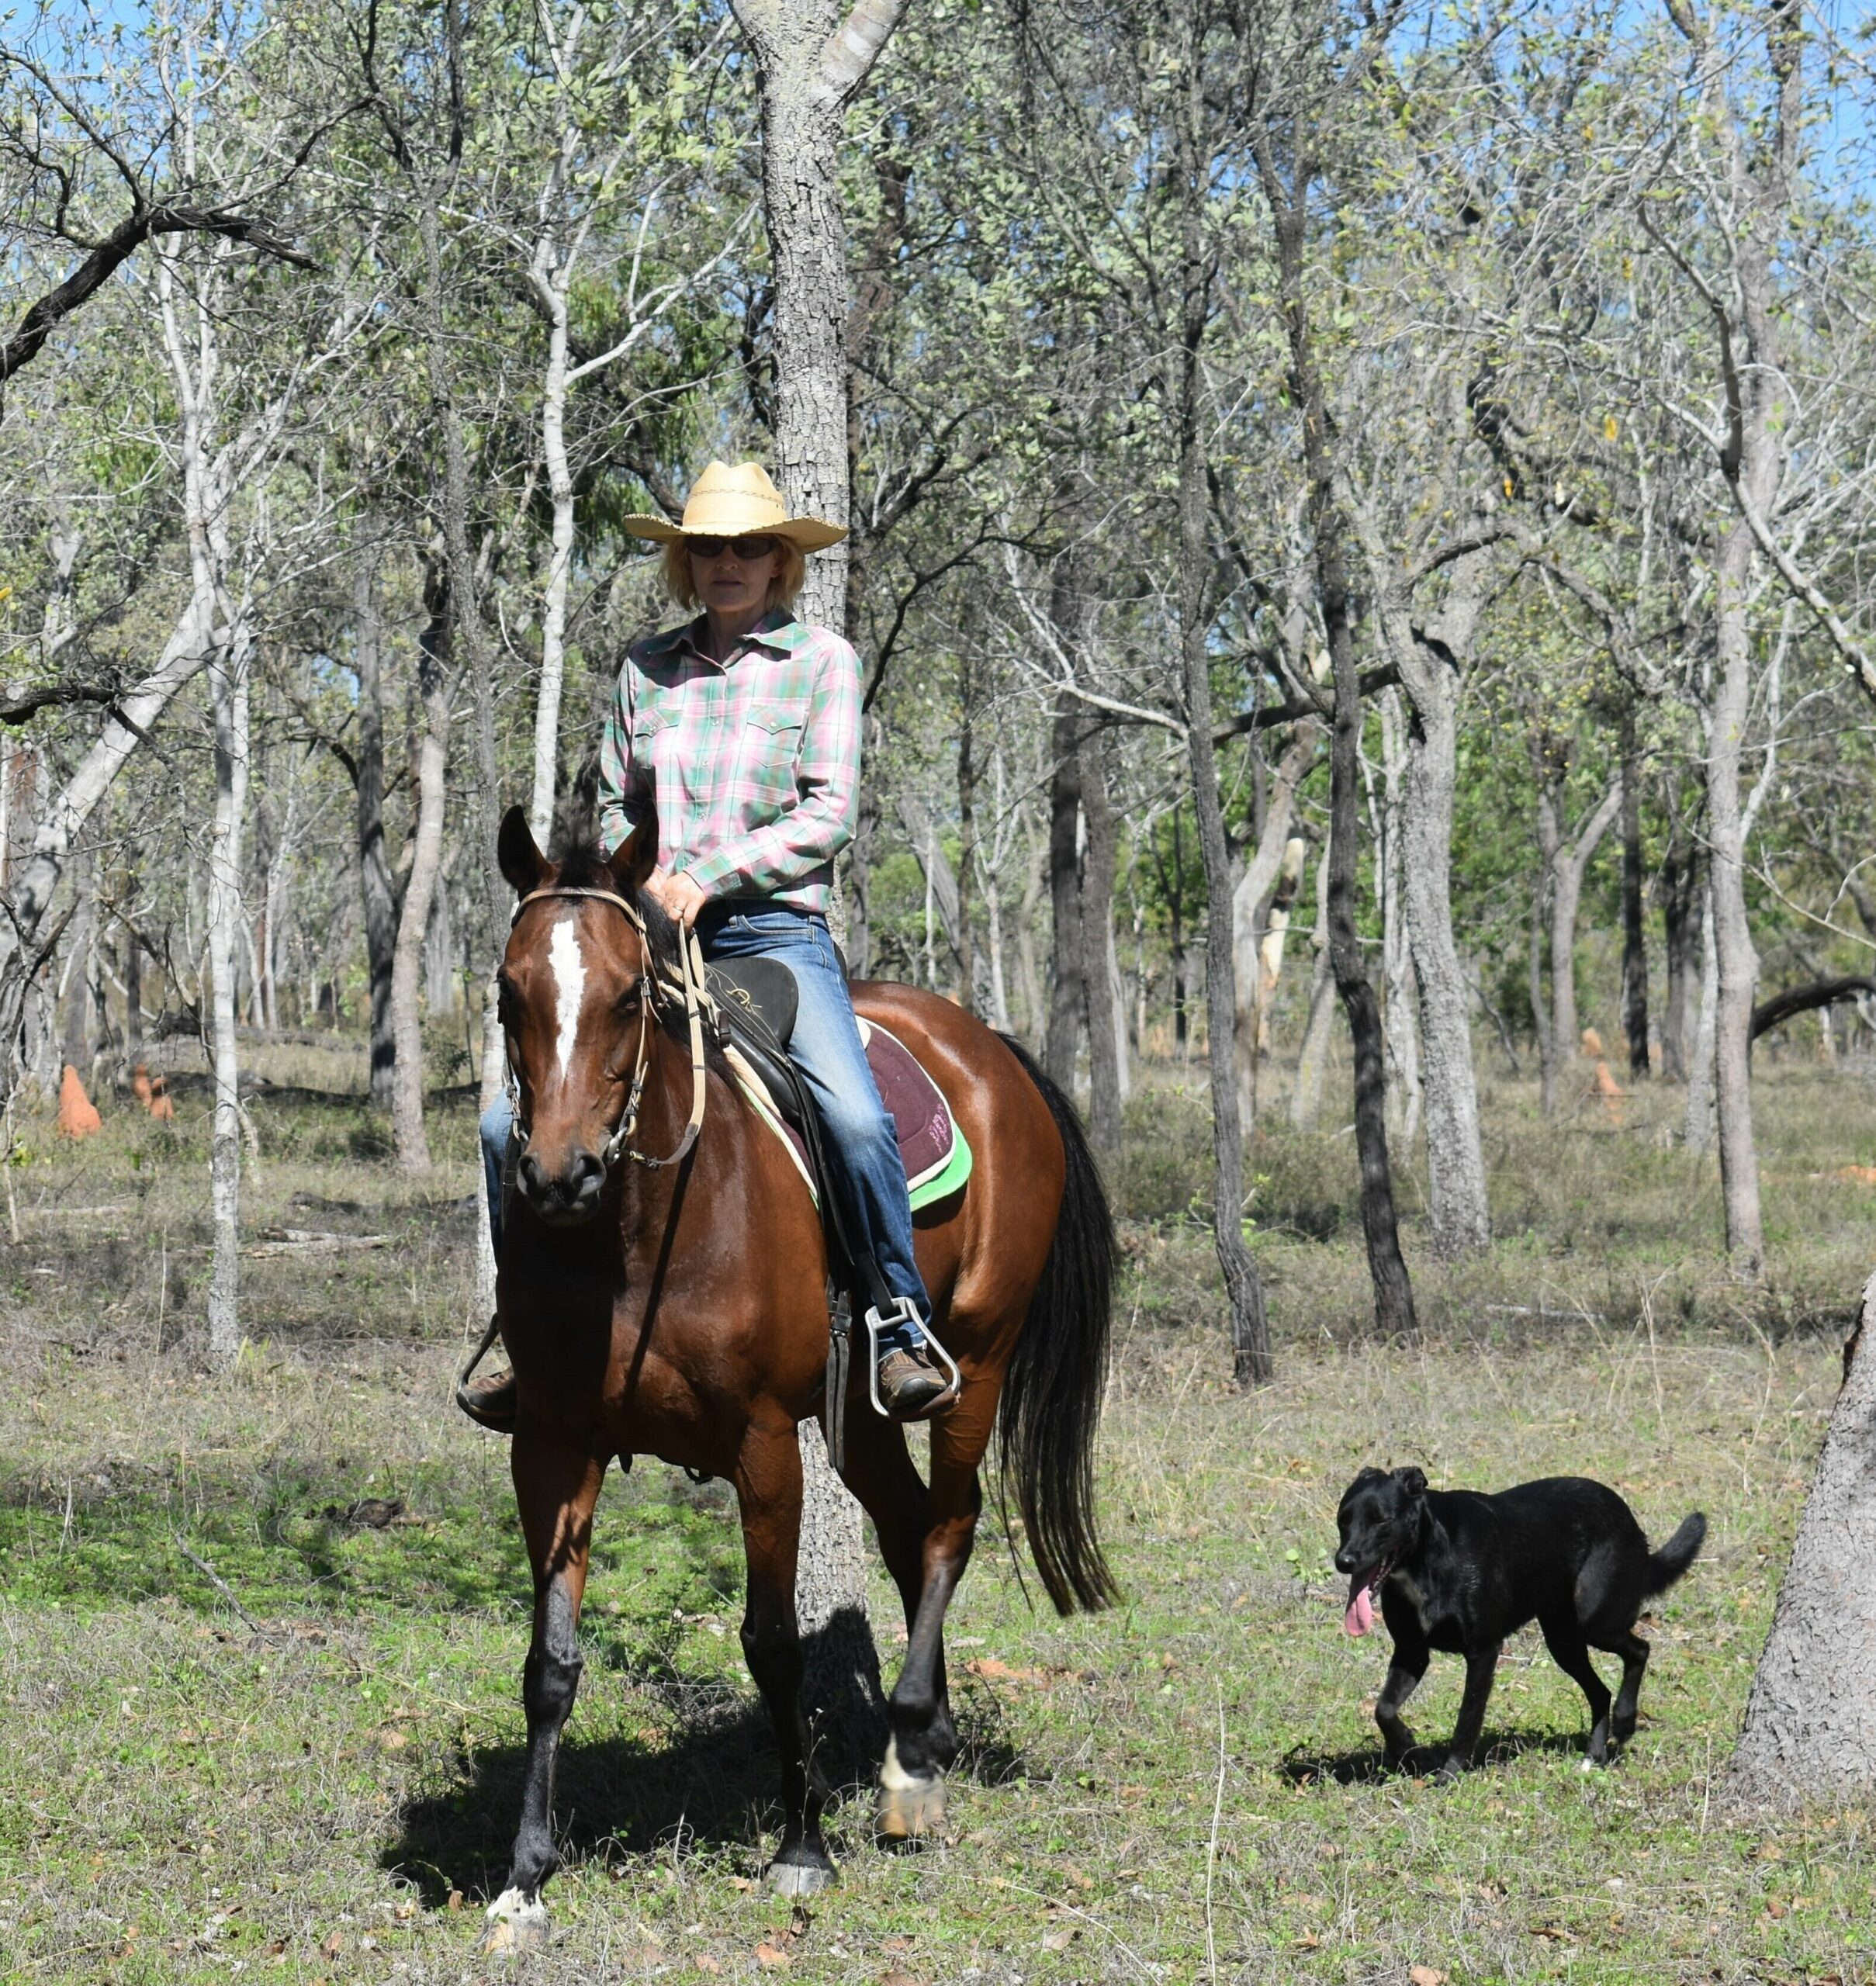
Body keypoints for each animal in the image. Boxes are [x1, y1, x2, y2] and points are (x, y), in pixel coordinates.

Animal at [476, 798, 1111, 1946]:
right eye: (510, 992)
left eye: (629, 994)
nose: (557, 1176)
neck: (640, 1234)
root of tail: (991, 1049)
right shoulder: (551, 1445)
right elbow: (550, 1664)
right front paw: (525, 1879)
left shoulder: (765, 1443)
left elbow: (772, 1642)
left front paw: (801, 1847)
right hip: (858, 1412)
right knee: (906, 1528)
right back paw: (918, 1743)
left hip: (978, 1360)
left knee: (949, 1528)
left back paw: (910, 1765)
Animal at [1334, 1469, 1699, 1779]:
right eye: (1343, 1519)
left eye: (1381, 1520)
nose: (1344, 1562)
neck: (1428, 1556)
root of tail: (1626, 1514)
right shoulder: (1412, 1651)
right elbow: (1384, 1709)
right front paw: (1409, 1750)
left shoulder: (1483, 1652)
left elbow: (1467, 1718)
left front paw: (1450, 1775)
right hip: (1563, 1640)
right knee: (1600, 1691)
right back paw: (1594, 1755)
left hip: (1596, 1621)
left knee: (1640, 1650)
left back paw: (1624, 1723)